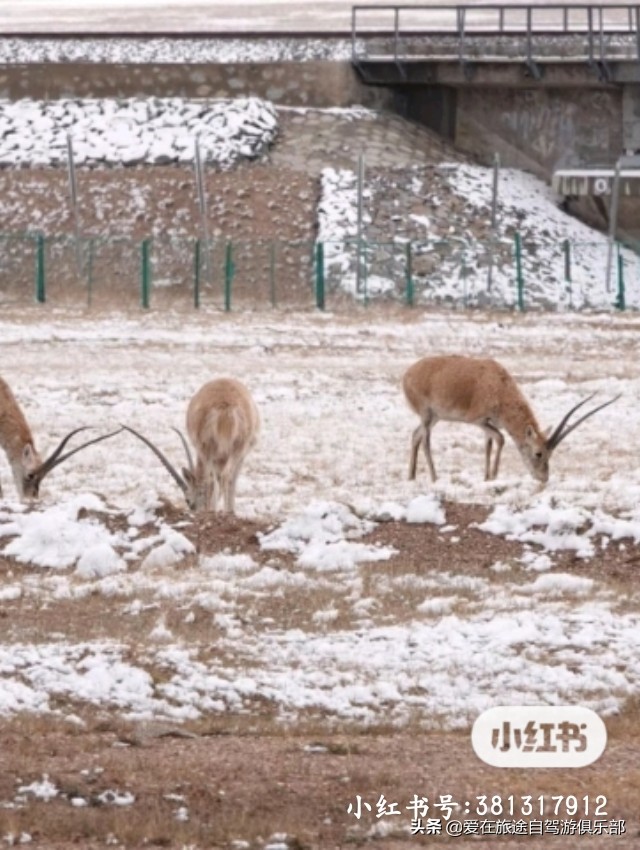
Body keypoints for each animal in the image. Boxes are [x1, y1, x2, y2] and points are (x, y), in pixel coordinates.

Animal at [122, 376, 258, 510]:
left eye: (187, 501)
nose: (194, 509)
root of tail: (226, 405)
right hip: (232, 450)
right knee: (222, 477)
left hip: (210, 451)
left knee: (215, 479)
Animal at [404, 352, 620, 484]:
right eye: (539, 453)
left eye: (550, 454)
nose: (543, 478)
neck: (500, 386)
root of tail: (407, 374)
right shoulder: (478, 420)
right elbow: (501, 439)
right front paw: (493, 476)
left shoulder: (488, 424)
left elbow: (489, 445)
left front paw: (486, 477)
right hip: (427, 415)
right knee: (425, 440)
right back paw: (434, 477)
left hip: (435, 417)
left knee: (415, 435)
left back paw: (411, 476)